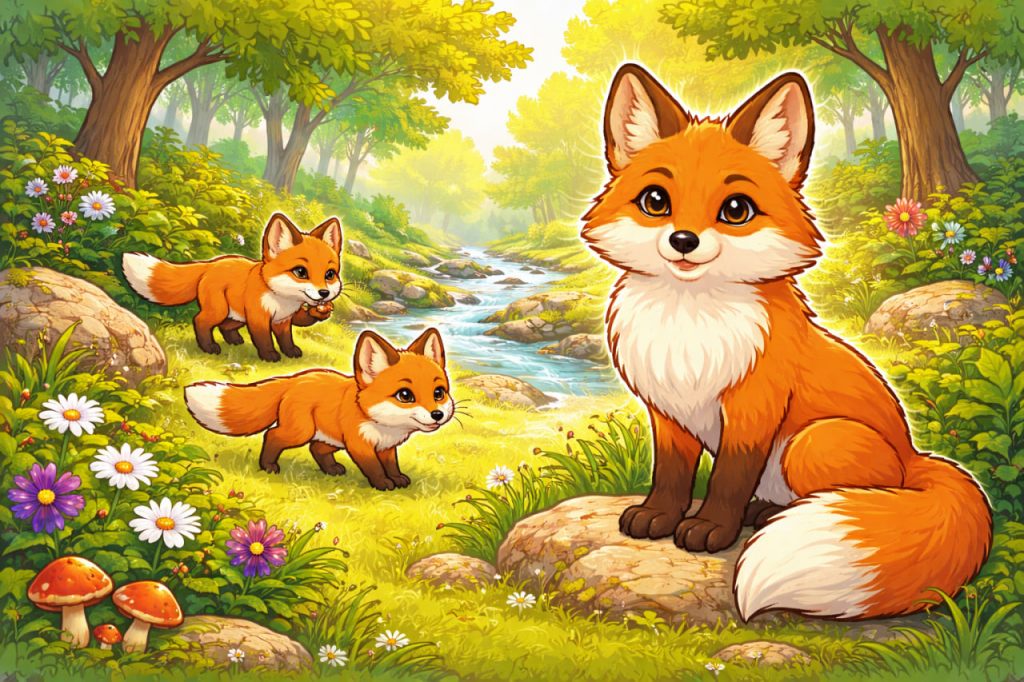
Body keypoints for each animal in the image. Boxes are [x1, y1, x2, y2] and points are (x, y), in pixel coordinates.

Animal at [122, 212, 342, 362]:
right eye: (301, 272)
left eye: (330, 275)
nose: (324, 293)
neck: (282, 300)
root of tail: (211, 263)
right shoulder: (258, 317)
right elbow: (264, 338)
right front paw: (269, 355)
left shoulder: (283, 320)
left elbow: (287, 338)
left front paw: (291, 350)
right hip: (219, 310)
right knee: (200, 321)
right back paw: (209, 347)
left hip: (236, 316)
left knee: (224, 326)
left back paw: (234, 340)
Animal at [183, 328, 453, 489]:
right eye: (405, 395)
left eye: (438, 393)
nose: (437, 415)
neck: (384, 425)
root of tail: (294, 379)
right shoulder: (360, 445)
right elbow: (374, 468)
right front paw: (383, 483)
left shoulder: (385, 447)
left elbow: (391, 465)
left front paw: (397, 478)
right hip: (300, 432)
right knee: (272, 435)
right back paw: (268, 466)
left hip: (329, 438)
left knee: (316, 448)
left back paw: (331, 469)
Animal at [582, 63, 992, 621]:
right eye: (655, 202)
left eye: (735, 209)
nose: (684, 241)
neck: (690, 325)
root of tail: (915, 457)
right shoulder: (668, 411)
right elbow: (670, 475)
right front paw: (657, 517)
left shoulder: (754, 407)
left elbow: (728, 479)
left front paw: (711, 528)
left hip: (813, 444)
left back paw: (770, 513)